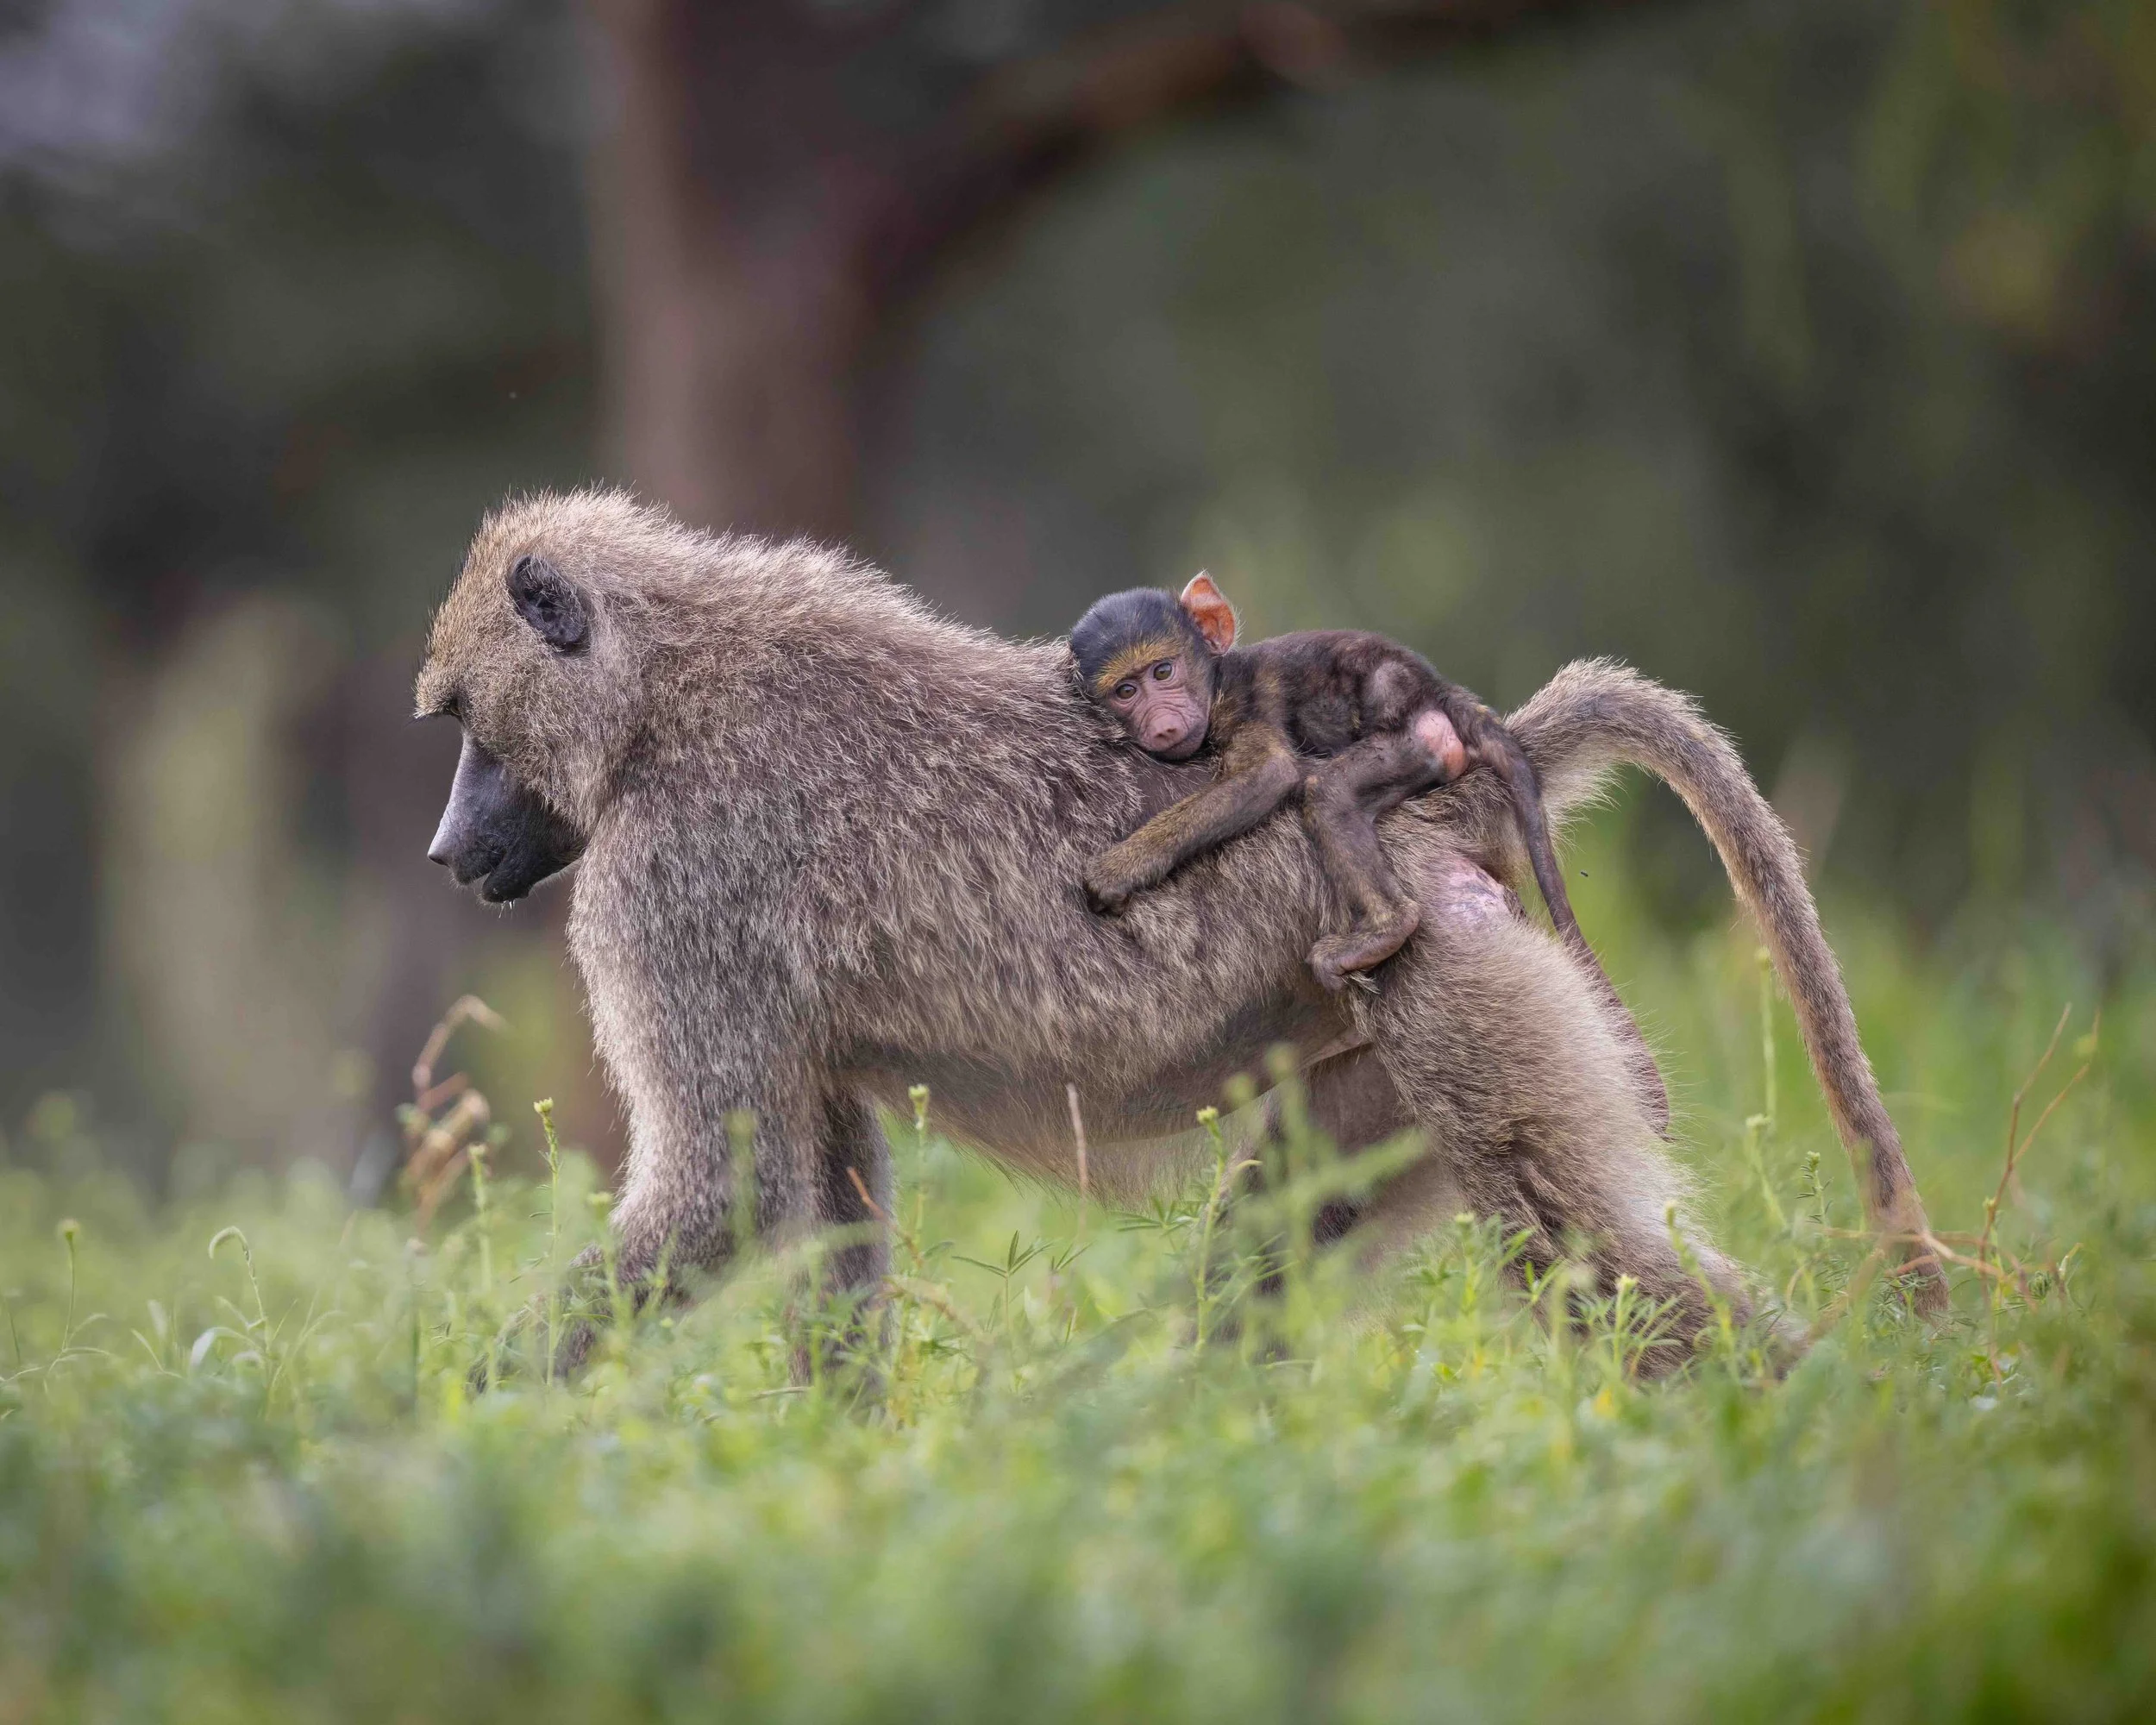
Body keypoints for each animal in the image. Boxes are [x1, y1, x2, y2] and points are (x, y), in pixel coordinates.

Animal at [1071, 573, 1604, 1000]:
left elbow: (1267, 775)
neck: (1219, 679)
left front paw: (1118, 869)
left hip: (1414, 743)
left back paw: (1388, 928)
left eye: (1163, 671)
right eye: (1125, 691)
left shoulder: (1245, 707)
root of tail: (1438, 693)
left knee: (1327, 794)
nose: (1161, 725)